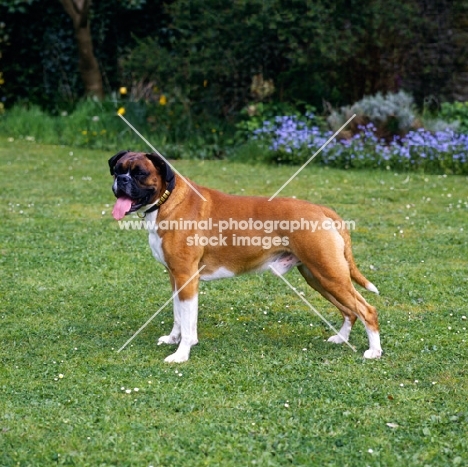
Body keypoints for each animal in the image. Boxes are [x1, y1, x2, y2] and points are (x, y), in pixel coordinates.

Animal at [109, 152, 384, 364]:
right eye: (117, 170)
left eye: (140, 173)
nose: (121, 180)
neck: (167, 200)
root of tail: (321, 210)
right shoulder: (176, 277)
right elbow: (179, 315)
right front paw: (173, 339)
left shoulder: (187, 277)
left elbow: (187, 321)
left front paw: (181, 354)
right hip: (319, 278)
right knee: (350, 311)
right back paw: (341, 338)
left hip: (330, 275)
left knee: (366, 310)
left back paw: (374, 351)